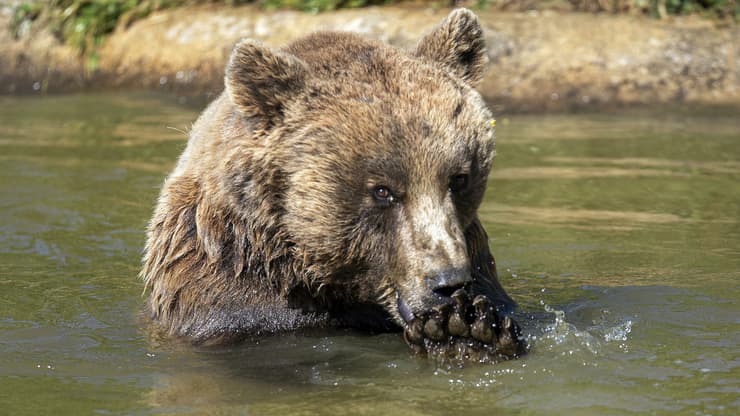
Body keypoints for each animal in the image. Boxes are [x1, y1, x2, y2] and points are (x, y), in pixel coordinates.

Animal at [142, 8, 524, 362]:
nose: (449, 283)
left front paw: (469, 329)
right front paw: (454, 328)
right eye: (382, 190)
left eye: (458, 178)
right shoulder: (230, 295)